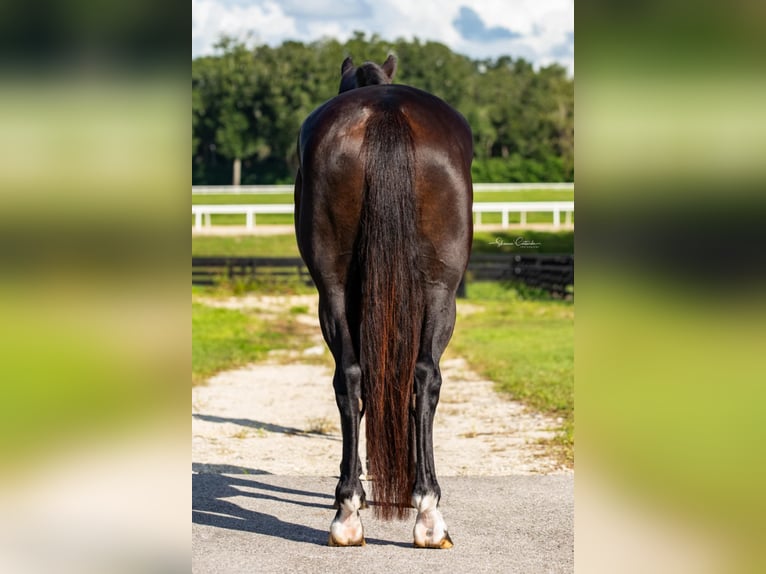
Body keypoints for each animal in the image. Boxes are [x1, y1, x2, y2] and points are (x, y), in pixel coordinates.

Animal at [294, 56, 474, 552]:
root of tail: (386, 112)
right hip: (438, 293)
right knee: (418, 378)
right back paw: (420, 511)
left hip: (339, 291)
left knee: (360, 378)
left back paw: (355, 510)